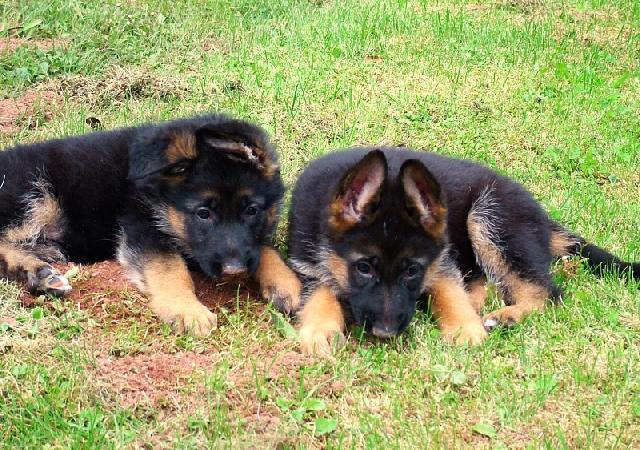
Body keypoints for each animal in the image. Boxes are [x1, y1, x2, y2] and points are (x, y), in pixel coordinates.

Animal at [0, 114, 301, 335]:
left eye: (252, 210)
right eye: (203, 213)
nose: (234, 272)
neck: (159, 191)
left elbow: (263, 248)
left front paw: (288, 284)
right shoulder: (141, 225)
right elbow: (170, 267)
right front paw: (186, 309)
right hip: (34, 196)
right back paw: (39, 273)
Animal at [287, 148, 639, 355]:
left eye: (412, 271)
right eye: (363, 268)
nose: (384, 333)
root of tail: (544, 218)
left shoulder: (441, 261)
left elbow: (447, 291)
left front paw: (463, 328)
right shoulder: (306, 264)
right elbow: (320, 292)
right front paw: (320, 330)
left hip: (488, 217)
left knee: (546, 293)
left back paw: (507, 315)